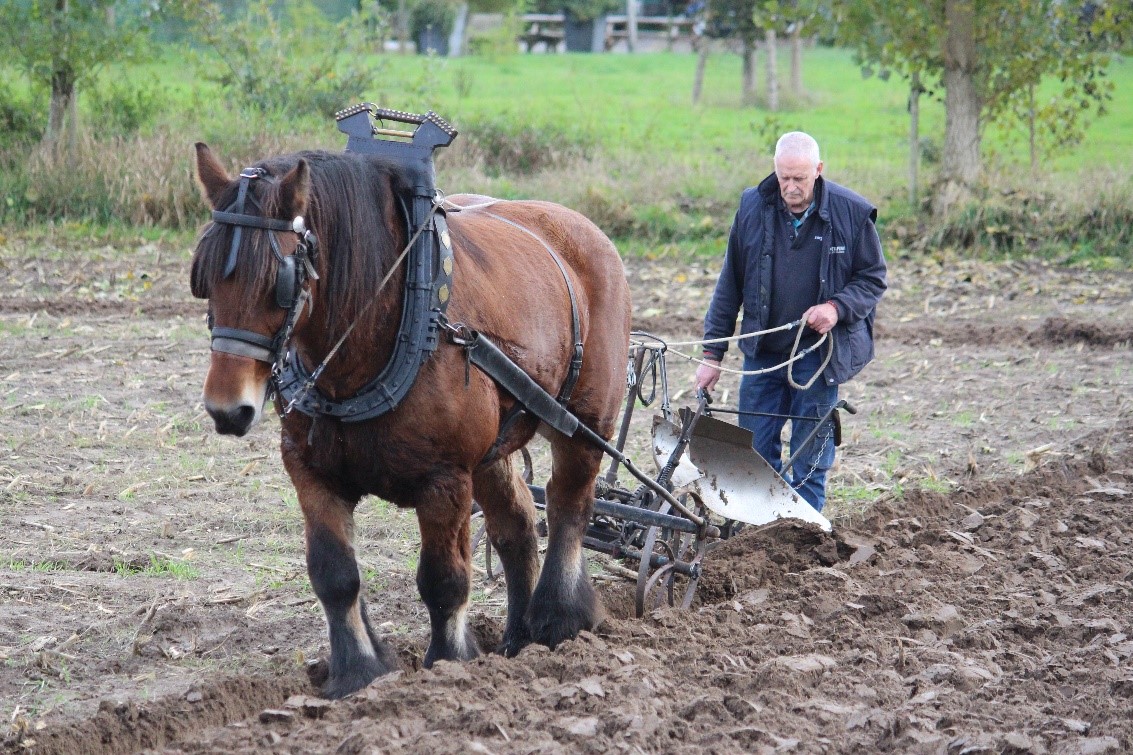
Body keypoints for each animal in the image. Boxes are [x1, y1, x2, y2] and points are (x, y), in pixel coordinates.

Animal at [193, 143, 634, 698]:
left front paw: (448, 664)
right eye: (203, 276)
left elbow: (444, 580)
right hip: (492, 451)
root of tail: (586, 230)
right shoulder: (310, 472)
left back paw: (558, 620)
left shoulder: (445, 479)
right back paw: (517, 637)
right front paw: (358, 672)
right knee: (517, 525)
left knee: (568, 505)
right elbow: (334, 575)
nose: (227, 410)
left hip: (584, 422)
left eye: (279, 281)